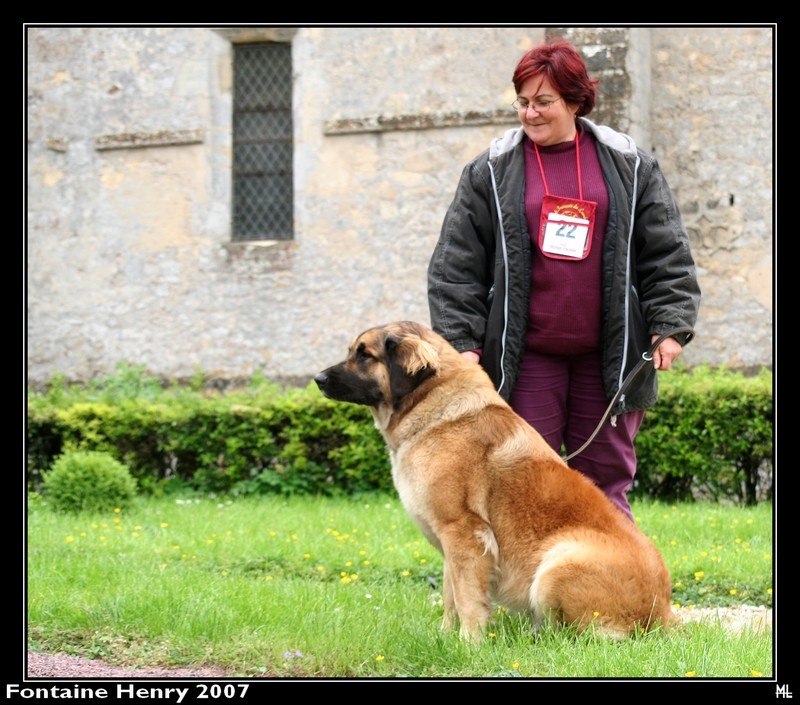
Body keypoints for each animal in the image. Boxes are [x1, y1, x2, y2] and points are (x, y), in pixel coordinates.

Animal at [315, 321, 676, 642]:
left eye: (364, 355)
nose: (317, 379)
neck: (433, 404)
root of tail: (663, 613)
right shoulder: (452, 544)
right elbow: (450, 594)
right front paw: (446, 637)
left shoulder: (464, 534)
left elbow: (467, 598)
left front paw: (469, 643)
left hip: (558, 562)